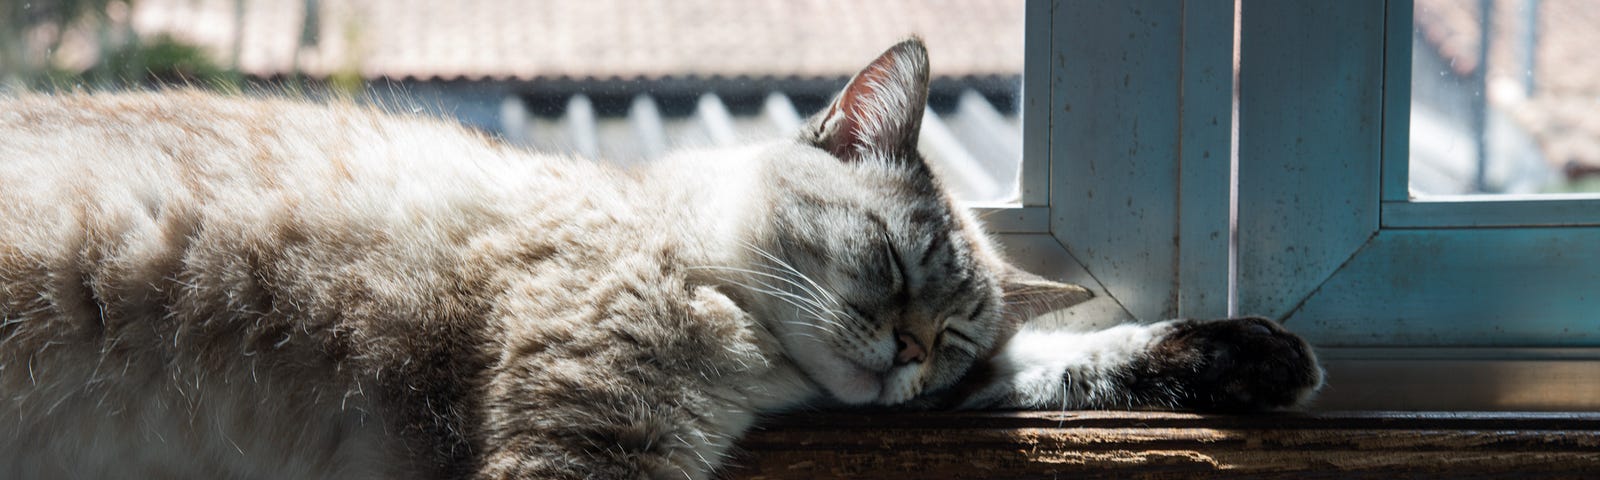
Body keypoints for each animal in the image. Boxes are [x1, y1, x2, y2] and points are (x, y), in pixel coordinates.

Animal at [0, 41, 1318, 480]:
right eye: (892, 265)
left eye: (949, 340)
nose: (901, 357)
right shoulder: (594, 439)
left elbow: (1068, 356)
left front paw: (1258, 361)